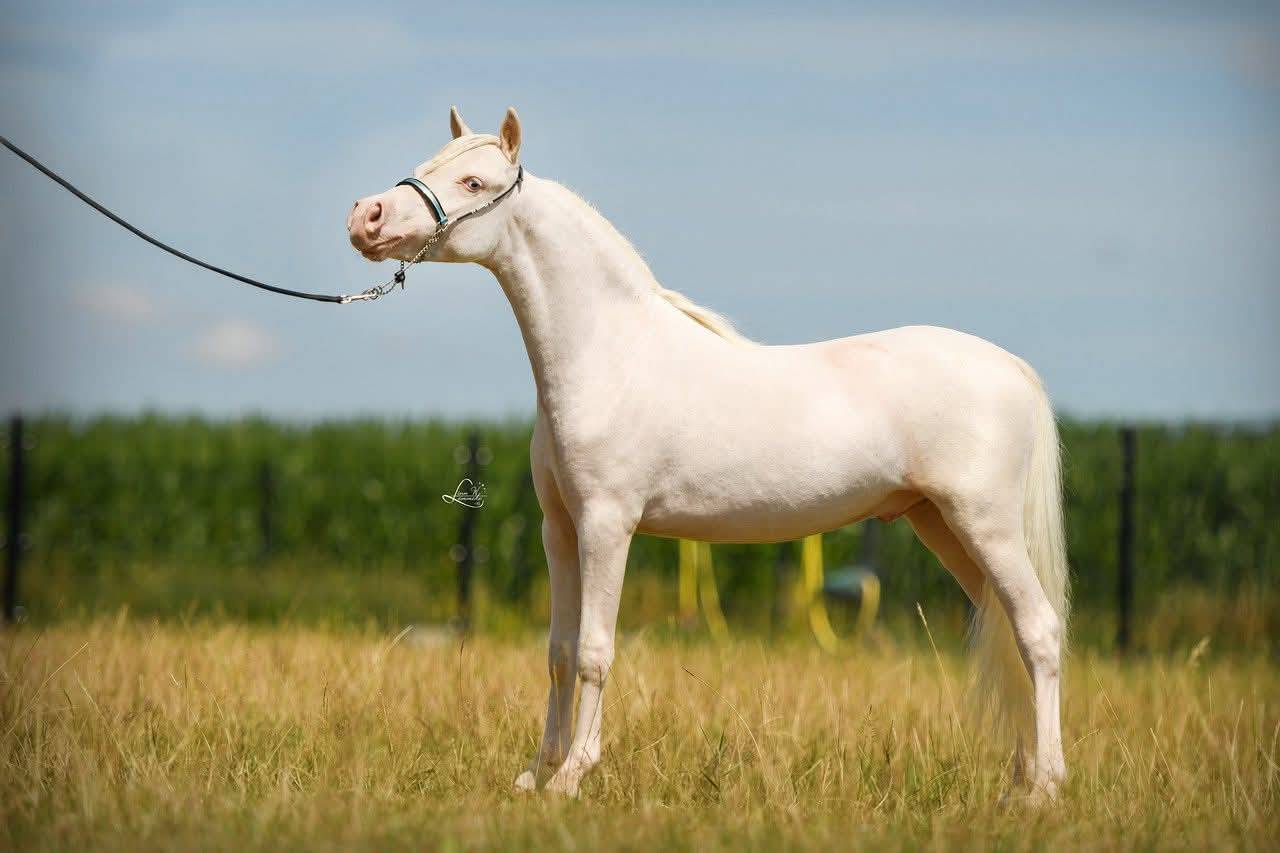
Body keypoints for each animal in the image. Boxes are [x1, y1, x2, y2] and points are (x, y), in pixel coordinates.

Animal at [346, 106, 1070, 801]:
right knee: (1009, 632)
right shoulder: (560, 528)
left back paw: (1045, 787)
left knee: (1038, 630)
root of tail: (1012, 367)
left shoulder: (608, 524)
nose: (366, 217)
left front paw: (573, 775)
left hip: (986, 524)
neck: (609, 355)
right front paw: (534, 774)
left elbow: (595, 651)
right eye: (427, 165)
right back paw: (1019, 780)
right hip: (942, 526)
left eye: (473, 183)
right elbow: (558, 649)